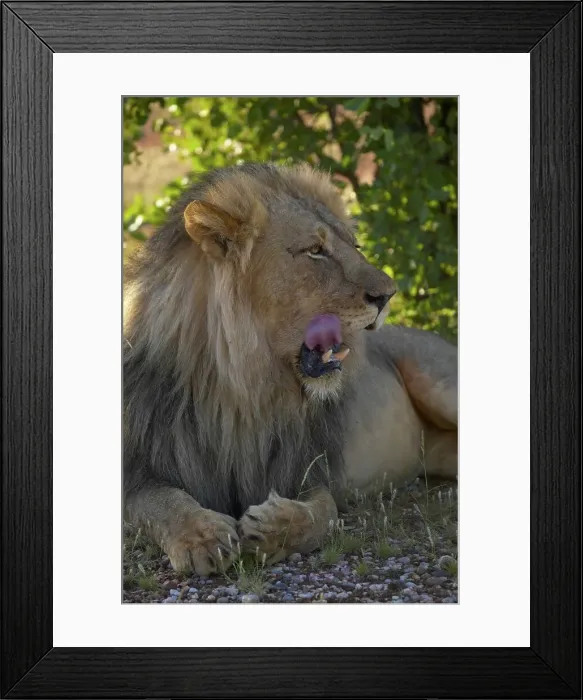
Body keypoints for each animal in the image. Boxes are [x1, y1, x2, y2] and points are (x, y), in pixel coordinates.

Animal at [123, 162, 457, 576]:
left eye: (355, 247)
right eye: (315, 251)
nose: (389, 295)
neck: (240, 392)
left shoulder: (304, 468)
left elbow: (323, 513)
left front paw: (273, 529)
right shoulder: (138, 469)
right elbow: (159, 503)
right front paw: (201, 537)